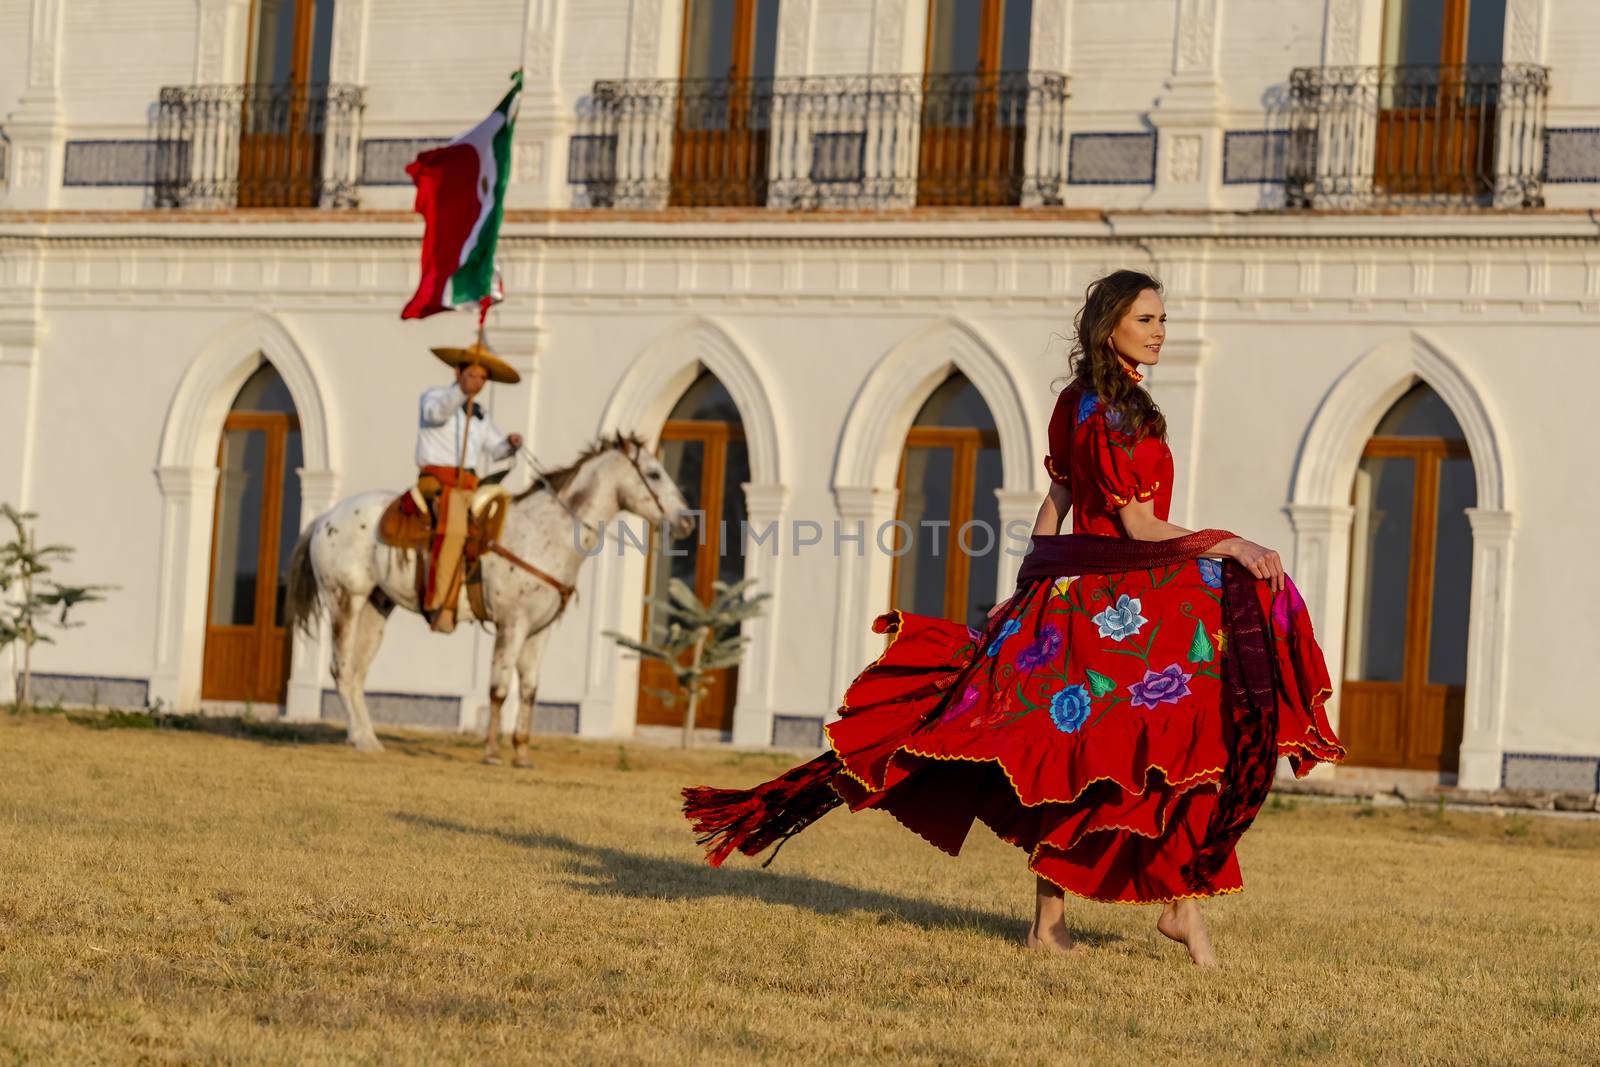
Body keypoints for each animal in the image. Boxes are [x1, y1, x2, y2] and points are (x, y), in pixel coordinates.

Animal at [286, 435, 694, 767]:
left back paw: (365, 737)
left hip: (376, 606)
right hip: (345, 600)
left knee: (356, 674)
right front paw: (492, 752)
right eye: (654, 473)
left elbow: (529, 690)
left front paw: (523, 753)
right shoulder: (511, 624)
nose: (687, 520)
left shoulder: (539, 631)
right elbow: (499, 688)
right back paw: (362, 740)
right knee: (341, 669)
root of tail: (325, 517)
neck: (545, 534)